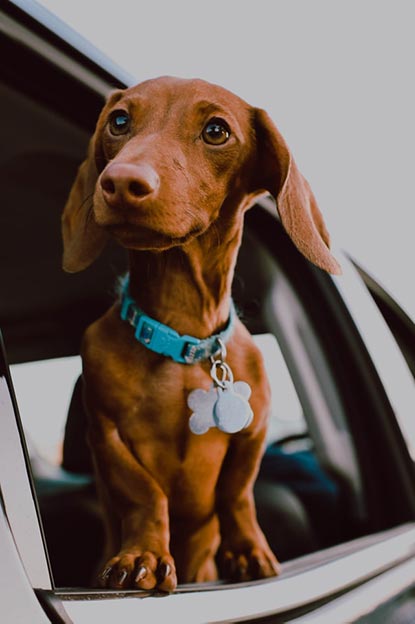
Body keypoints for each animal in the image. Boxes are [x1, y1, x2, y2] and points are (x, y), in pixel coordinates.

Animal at [61, 75, 342, 592]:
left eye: (216, 131)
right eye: (119, 120)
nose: (121, 182)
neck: (182, 337)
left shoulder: (254, 432)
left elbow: (236, 493)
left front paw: (247, 550)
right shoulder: (105, 435)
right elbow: (144, 494)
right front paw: (143, 555)